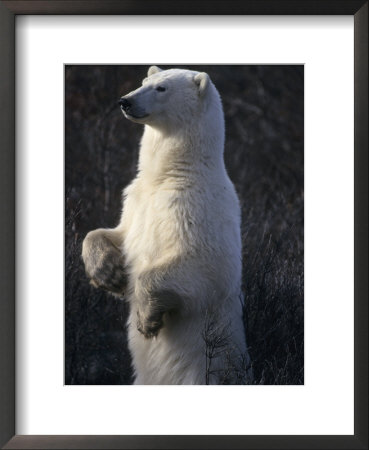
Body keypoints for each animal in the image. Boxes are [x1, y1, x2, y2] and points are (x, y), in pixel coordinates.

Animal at [82, 66, 252, 384]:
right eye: (144, 81)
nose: (125, 101)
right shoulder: (136, 202)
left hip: (205, 370)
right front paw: (109, 273)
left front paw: (146, 320)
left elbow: (203, 264)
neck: (171, 174)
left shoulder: (196, 208)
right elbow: (114, 234)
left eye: (161, 88)